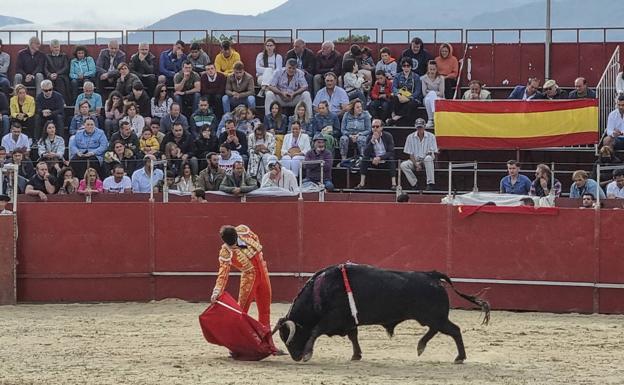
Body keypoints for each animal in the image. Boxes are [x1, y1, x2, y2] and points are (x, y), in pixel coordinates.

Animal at [270, 262, 490, 362]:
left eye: (289, 338)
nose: (295, 357)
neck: (320, 290)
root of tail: (431, 275)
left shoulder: (333, 318)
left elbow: (316, 331)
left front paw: (308, 353)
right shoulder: (349, 321)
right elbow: (353, 336)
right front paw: (356, 355)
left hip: (434, 316)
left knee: (454, 330)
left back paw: (459, 357)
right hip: (432, 317)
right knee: (438, 330)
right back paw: (421, 347)